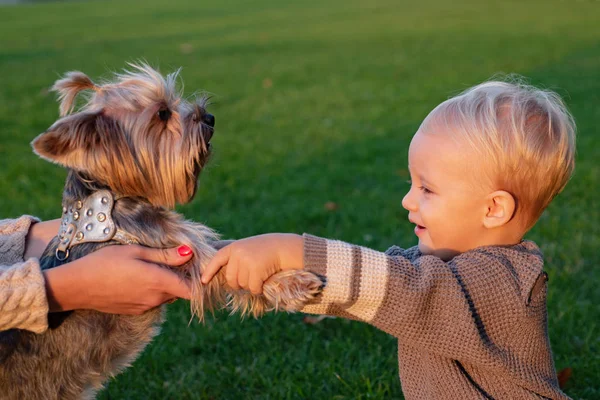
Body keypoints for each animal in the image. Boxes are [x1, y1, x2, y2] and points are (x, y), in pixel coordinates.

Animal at [0, 64, 324, 398]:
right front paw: (293, 285)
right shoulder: (176, 255)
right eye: (163, 114)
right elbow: (216, 265)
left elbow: (223, 248)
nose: (210, 117)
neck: (111, 198)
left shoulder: (184, 240)